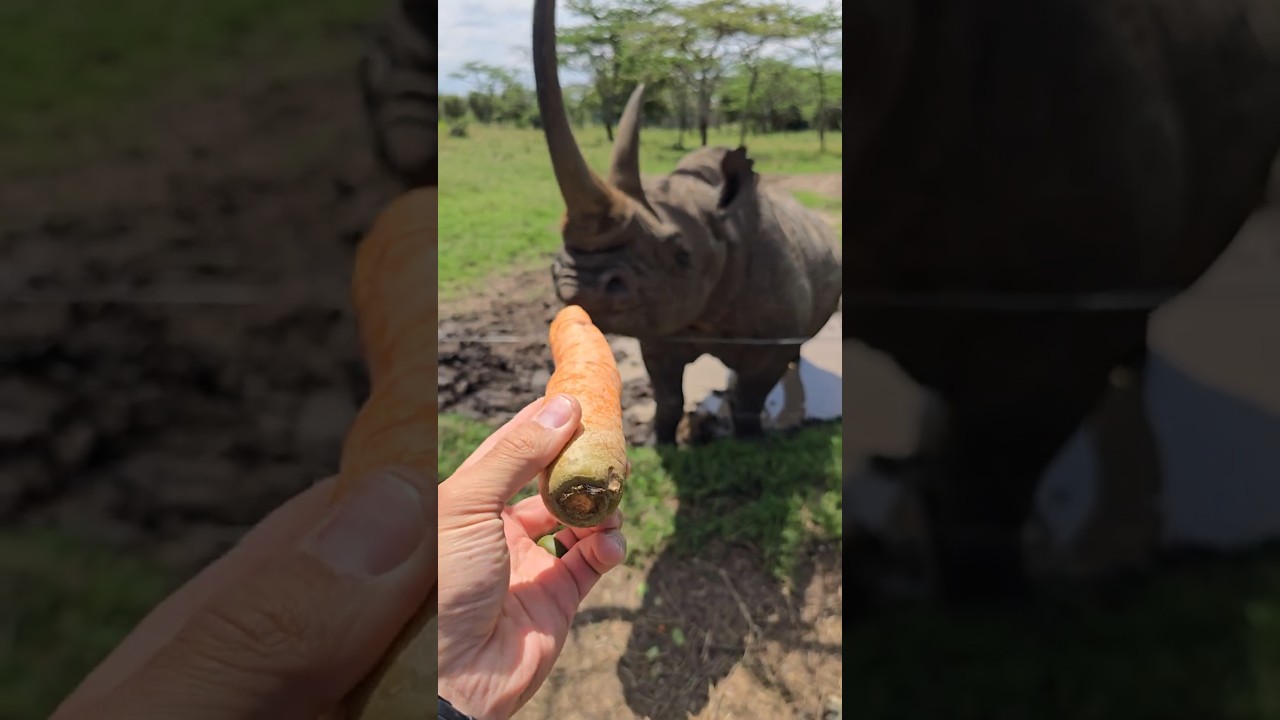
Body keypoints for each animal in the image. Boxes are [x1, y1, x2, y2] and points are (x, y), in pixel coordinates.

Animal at [532, 0, 844, 443]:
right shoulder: (660, 328)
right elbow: (667, 396)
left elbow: (751, 395)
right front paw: (660, 440)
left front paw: (750, 441)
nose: (579, 284)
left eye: (681, 254)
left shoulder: (768, 339)